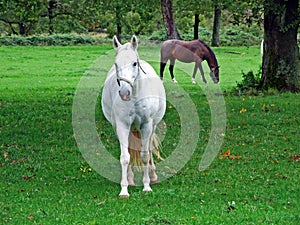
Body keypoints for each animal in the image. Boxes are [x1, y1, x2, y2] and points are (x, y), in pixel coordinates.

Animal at [101, 34, 166, 197]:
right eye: (116, 64)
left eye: (134, 63)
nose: (124, 93)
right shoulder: (122, 126)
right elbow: (125, 157)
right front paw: (124, 189)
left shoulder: (146, 125)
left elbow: (145, 155)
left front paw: (147, 186)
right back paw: (130, 179)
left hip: (152, 127)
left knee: (149, 149)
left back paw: (153, 176)